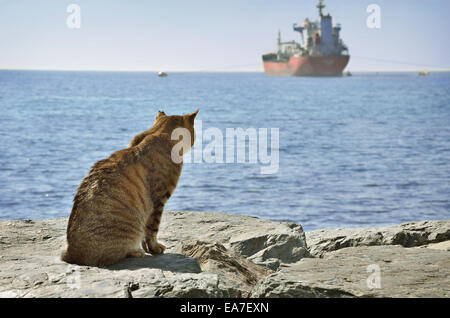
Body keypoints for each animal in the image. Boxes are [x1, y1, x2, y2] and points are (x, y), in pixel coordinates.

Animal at [60, 109, 198, 266]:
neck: (157, 133)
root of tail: (71, 254)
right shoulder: (158, 201)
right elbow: (152, 229)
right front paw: (154, 248)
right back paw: (136, 251)